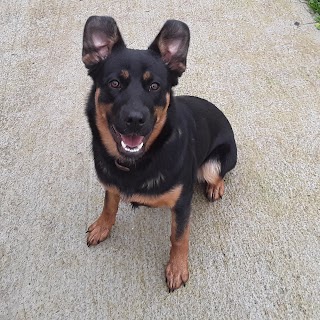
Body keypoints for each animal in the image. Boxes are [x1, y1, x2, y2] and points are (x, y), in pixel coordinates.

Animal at [82, 16, 238, 292]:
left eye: (154, 86)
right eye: (114, 83)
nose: (135, 120)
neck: (137, 162)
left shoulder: (182, 203)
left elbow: (179, 237)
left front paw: (177, 268)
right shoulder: (111, 184)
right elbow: (109, 205)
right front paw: (102, 226)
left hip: (213, 164)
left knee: (216, 174)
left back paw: (215, 187)